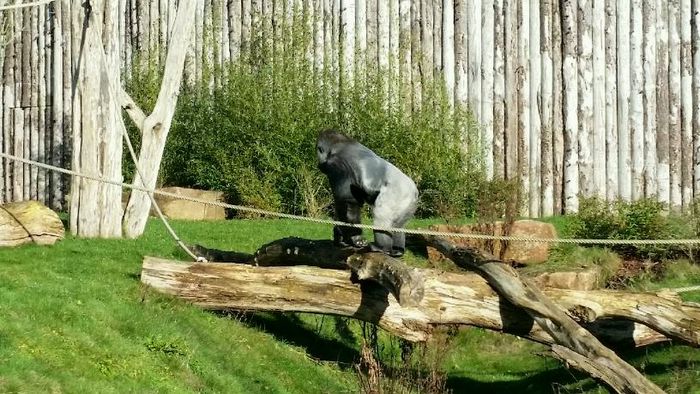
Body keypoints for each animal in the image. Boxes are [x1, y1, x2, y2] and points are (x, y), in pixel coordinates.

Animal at [318, 127, 422, 258]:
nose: (319, 164)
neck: (339, 145)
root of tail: (414, 191)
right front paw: (340, 237)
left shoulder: (339, 166)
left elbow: (347, 202)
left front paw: (354, 238)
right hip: (409, 204)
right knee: (399, 226)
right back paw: (397, 250)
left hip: (397, 195)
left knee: (381, 217)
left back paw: (381, 247)